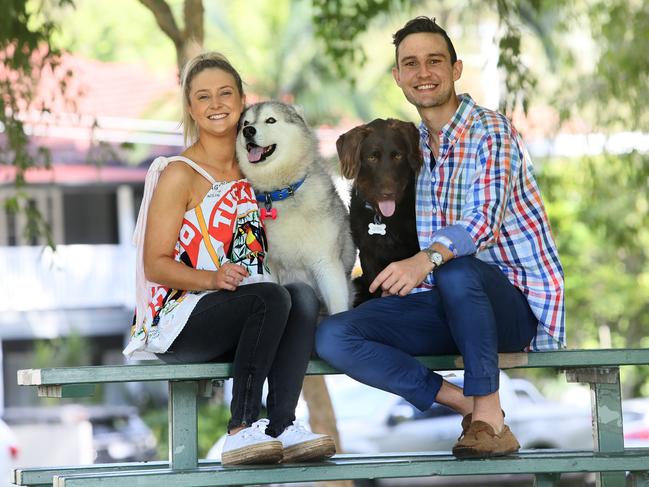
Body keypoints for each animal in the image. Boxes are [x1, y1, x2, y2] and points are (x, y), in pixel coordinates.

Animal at [336, 119, 422, 304]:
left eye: (397, 156)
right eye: (372, 157)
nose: (388, 193)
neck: (384, 218)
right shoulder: (367, 254)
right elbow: (375, 289)